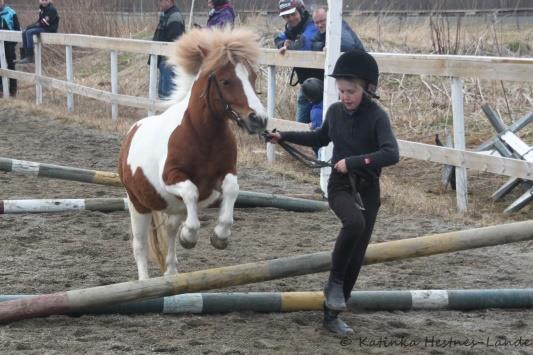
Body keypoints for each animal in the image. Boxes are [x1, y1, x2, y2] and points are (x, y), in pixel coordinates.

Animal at [117, 27, 266, 280]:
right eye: (226, 81)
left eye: (253, 77)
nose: (259, 119)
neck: (202, 136)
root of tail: (131, 133)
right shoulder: (171, 178)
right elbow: (191, 192)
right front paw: (190, 236)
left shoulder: (224, 175)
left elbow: (231, 190)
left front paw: (219, 236)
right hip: (138, 205)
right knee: (140, 246)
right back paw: (144, 282)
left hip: (171, 209)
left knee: (169, 233)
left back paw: (171, 273)